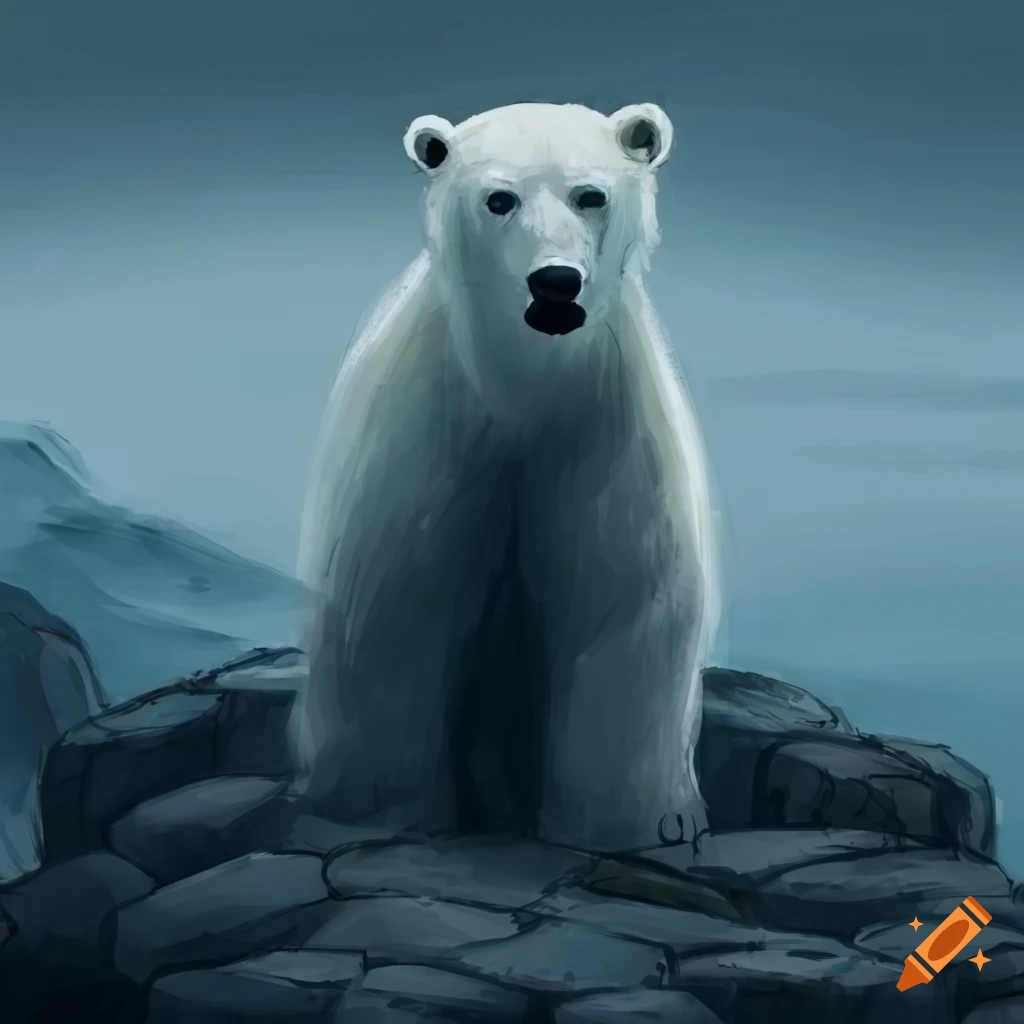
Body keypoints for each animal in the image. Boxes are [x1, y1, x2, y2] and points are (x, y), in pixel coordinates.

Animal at [292, 101, 720, 853]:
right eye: (500, 199)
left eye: (590, 195)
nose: (554, 285)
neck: (525, 387)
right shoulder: (428, 442)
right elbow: (396, 606)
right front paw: (373, 807)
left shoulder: (611, 437)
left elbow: (622, 605)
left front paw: (644, 821)